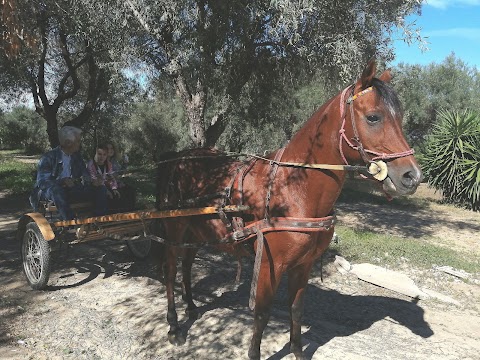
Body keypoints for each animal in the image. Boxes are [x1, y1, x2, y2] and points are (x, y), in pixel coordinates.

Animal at [154, 59, 420, 360]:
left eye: (400, 117)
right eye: (374, 117)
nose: (412, 177)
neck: (293, 188)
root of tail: (176, 158)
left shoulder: (303, 265)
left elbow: (296, 309)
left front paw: (297, 351)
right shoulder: (269, 265)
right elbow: (261, 314)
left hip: (196, 231)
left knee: (187, 265)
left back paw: (191, 307)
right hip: (175, 230)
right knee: (171, 271)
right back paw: (174, 326)